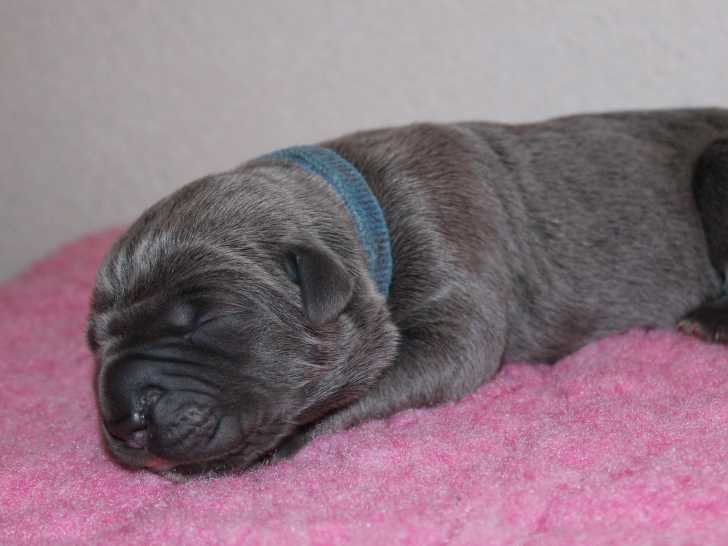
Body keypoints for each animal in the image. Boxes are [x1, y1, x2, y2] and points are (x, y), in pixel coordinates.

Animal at [87, 108, 728, 478]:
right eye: (95, 343)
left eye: (200, 319)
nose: (121, 418)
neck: (364, 207)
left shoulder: (457, 320)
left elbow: (368, 388)